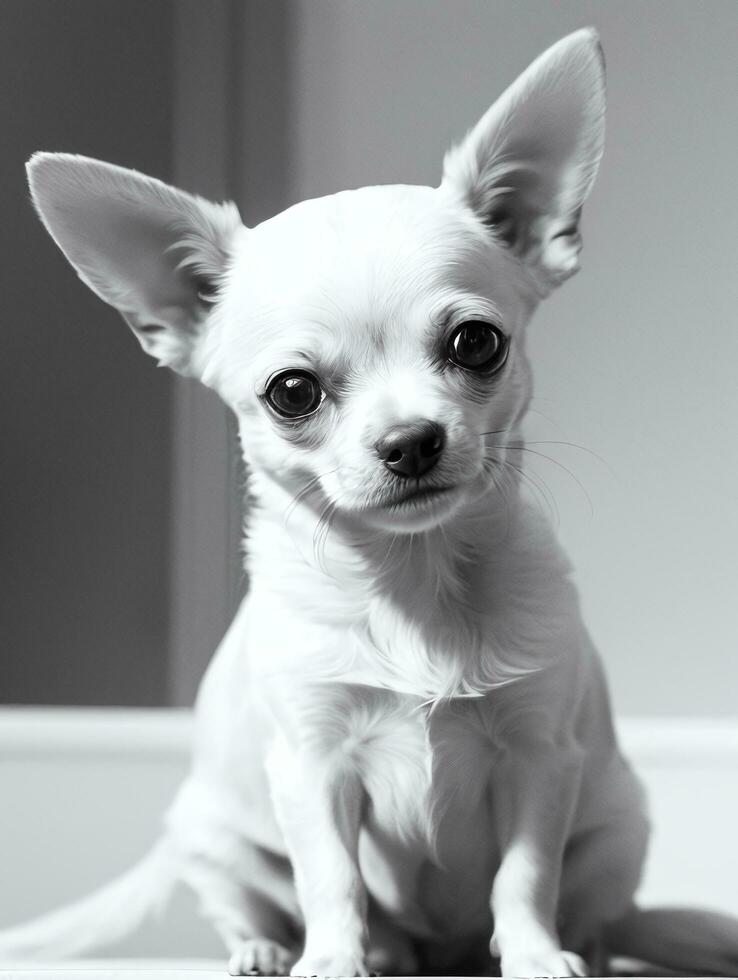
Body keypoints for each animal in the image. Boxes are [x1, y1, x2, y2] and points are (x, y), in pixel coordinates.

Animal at [1, 26, 736, 976]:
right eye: (292, 393)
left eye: (476, 343)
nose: (411, 440)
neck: (413, 583)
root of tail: (440, 951)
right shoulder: (313, 766)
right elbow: (331, 879)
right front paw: (331, 960)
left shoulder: (540, 758)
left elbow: (525, 876)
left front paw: (535, 956)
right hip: (216, 840)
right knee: (250, 904)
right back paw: (284, 951)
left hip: (618, 828)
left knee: (596, 906)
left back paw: (589, 950)